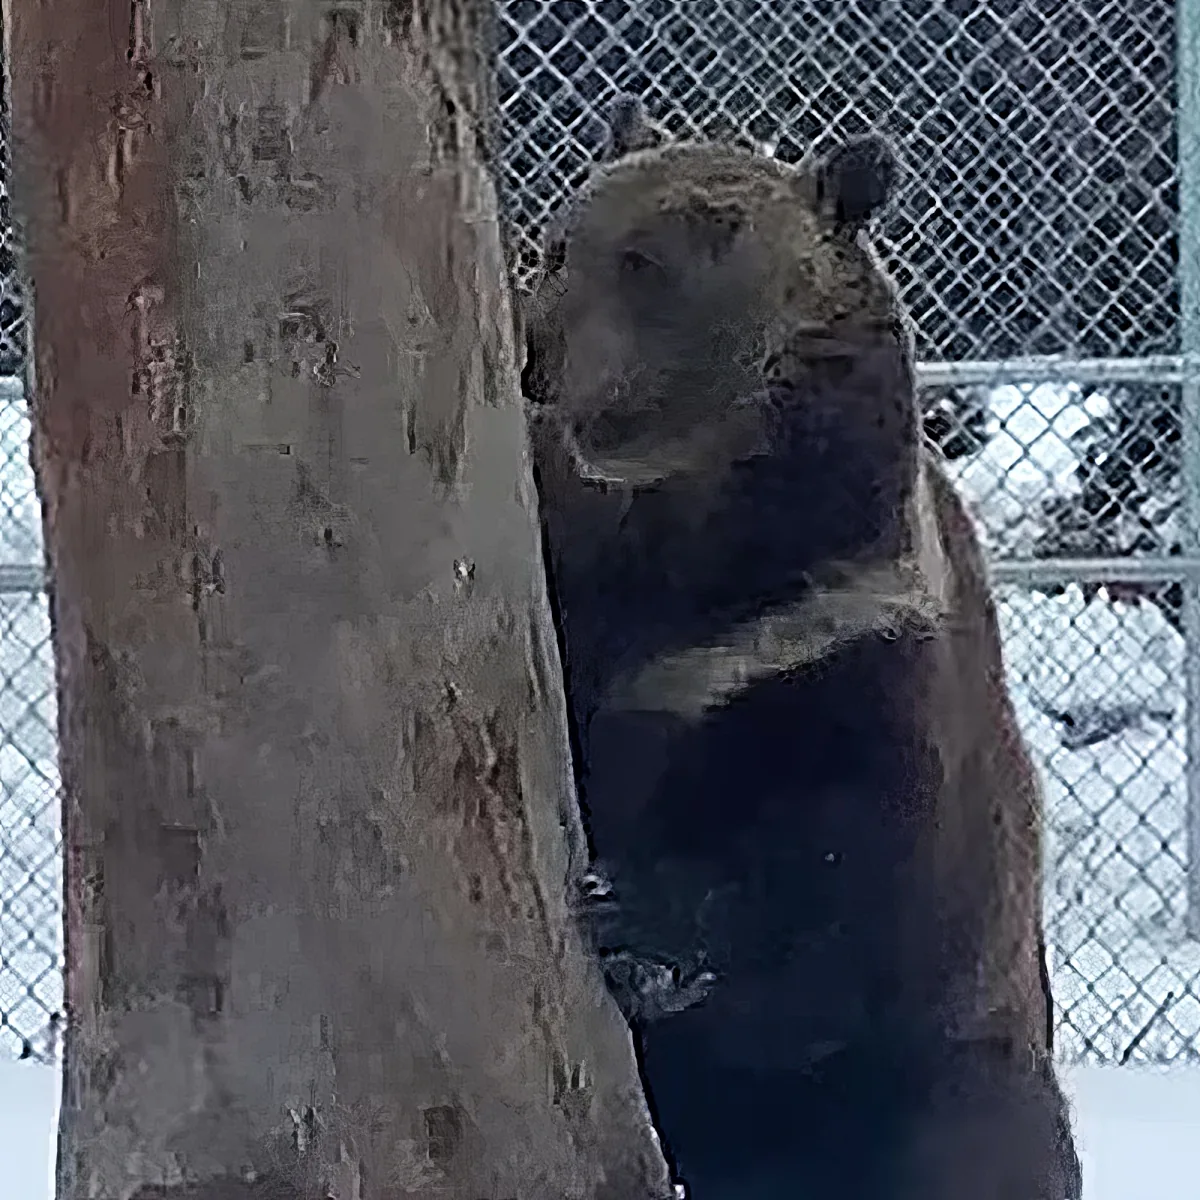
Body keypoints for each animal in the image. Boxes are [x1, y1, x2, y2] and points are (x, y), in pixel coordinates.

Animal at [522, 98, 1081, 1200]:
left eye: (653, 259)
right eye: (565, 242)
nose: (538, 353)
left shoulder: (829, 639)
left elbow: (842, 857)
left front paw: (639, 916)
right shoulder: (596, 620)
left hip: (951, 1077)